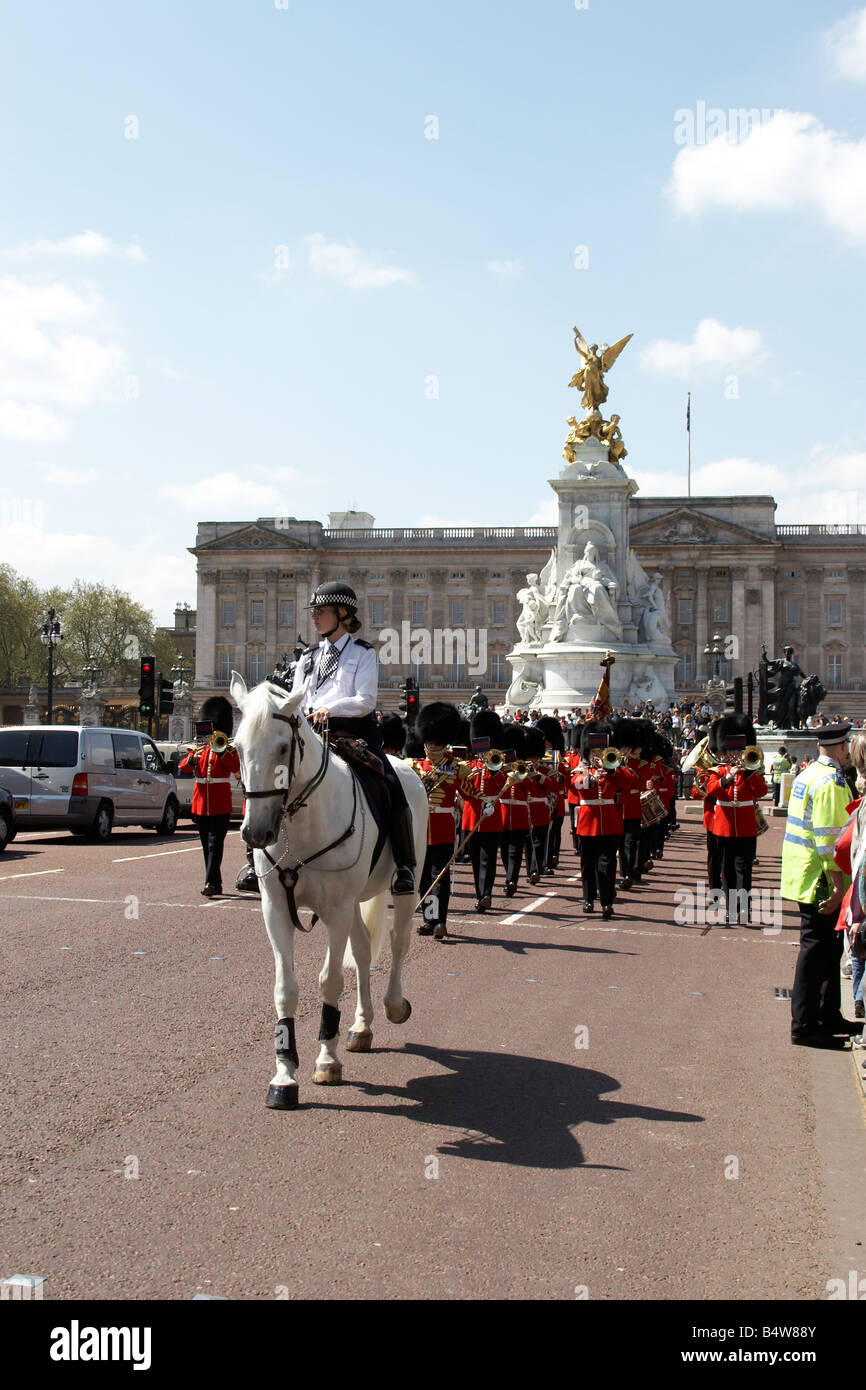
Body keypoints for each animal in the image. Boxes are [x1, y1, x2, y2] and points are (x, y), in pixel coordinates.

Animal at [229, 672, 428, 1106]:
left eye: (283, 746)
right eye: (235, 746)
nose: (255, 833)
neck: (300, 827)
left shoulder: (335, 909)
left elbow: (330, 980)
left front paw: (326, 1060)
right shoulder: (276, 907)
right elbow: (286, 988)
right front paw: (284, 1074)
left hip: (403, 883)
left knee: (398, 940)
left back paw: (392, 1005)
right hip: (353, 900)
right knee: (365, 949)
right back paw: (361, 1026)